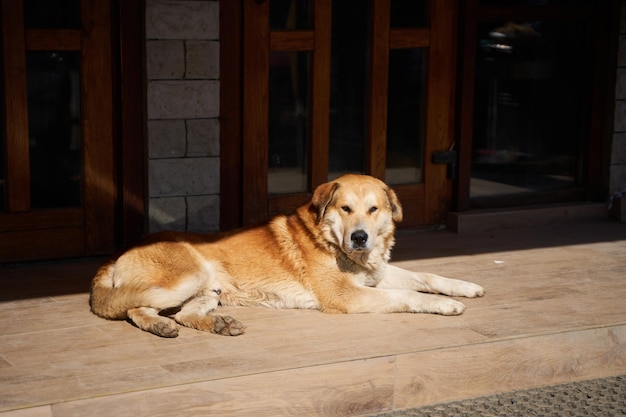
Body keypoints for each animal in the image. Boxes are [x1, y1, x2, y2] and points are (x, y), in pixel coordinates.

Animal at [90, 174, 482, 336]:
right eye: (345, 208)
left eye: (374, 209)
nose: (360, 237)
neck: (328, 239)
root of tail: (118, 254)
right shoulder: (347, 295)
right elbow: (407, 294)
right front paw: (444, 304)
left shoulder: (377, 273)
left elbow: (427, 276)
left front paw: (463, 287)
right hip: (187, 276)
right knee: (134, 308)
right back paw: (158, 324)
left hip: (209, 289)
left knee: (187, 314)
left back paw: (219, 324)